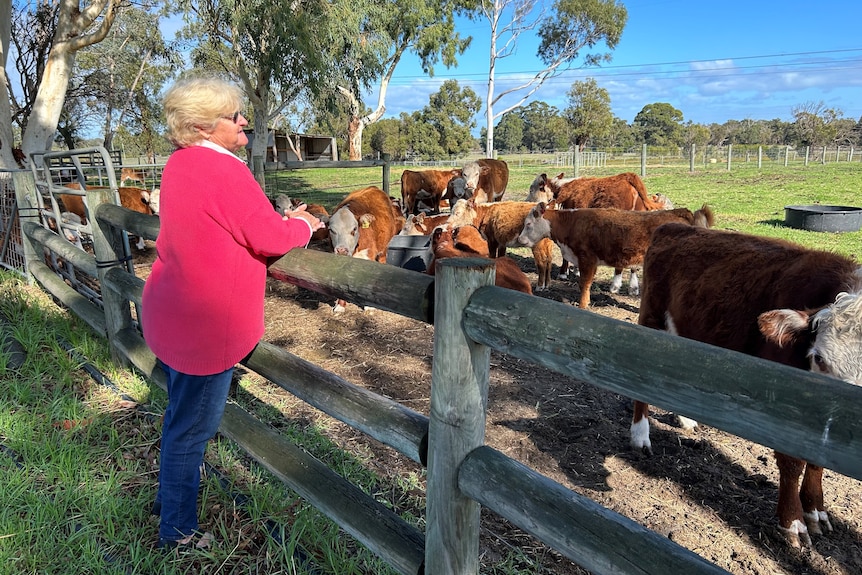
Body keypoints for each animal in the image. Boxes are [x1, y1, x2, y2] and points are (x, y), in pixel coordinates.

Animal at [632, 222, 862, 548]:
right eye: (818, 357)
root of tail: (675, 227)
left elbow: (817, 461)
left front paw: (816, 511)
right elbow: (792, 462)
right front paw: (793, 523)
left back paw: (686, 419)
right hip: (651, 321)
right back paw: (640, 436)